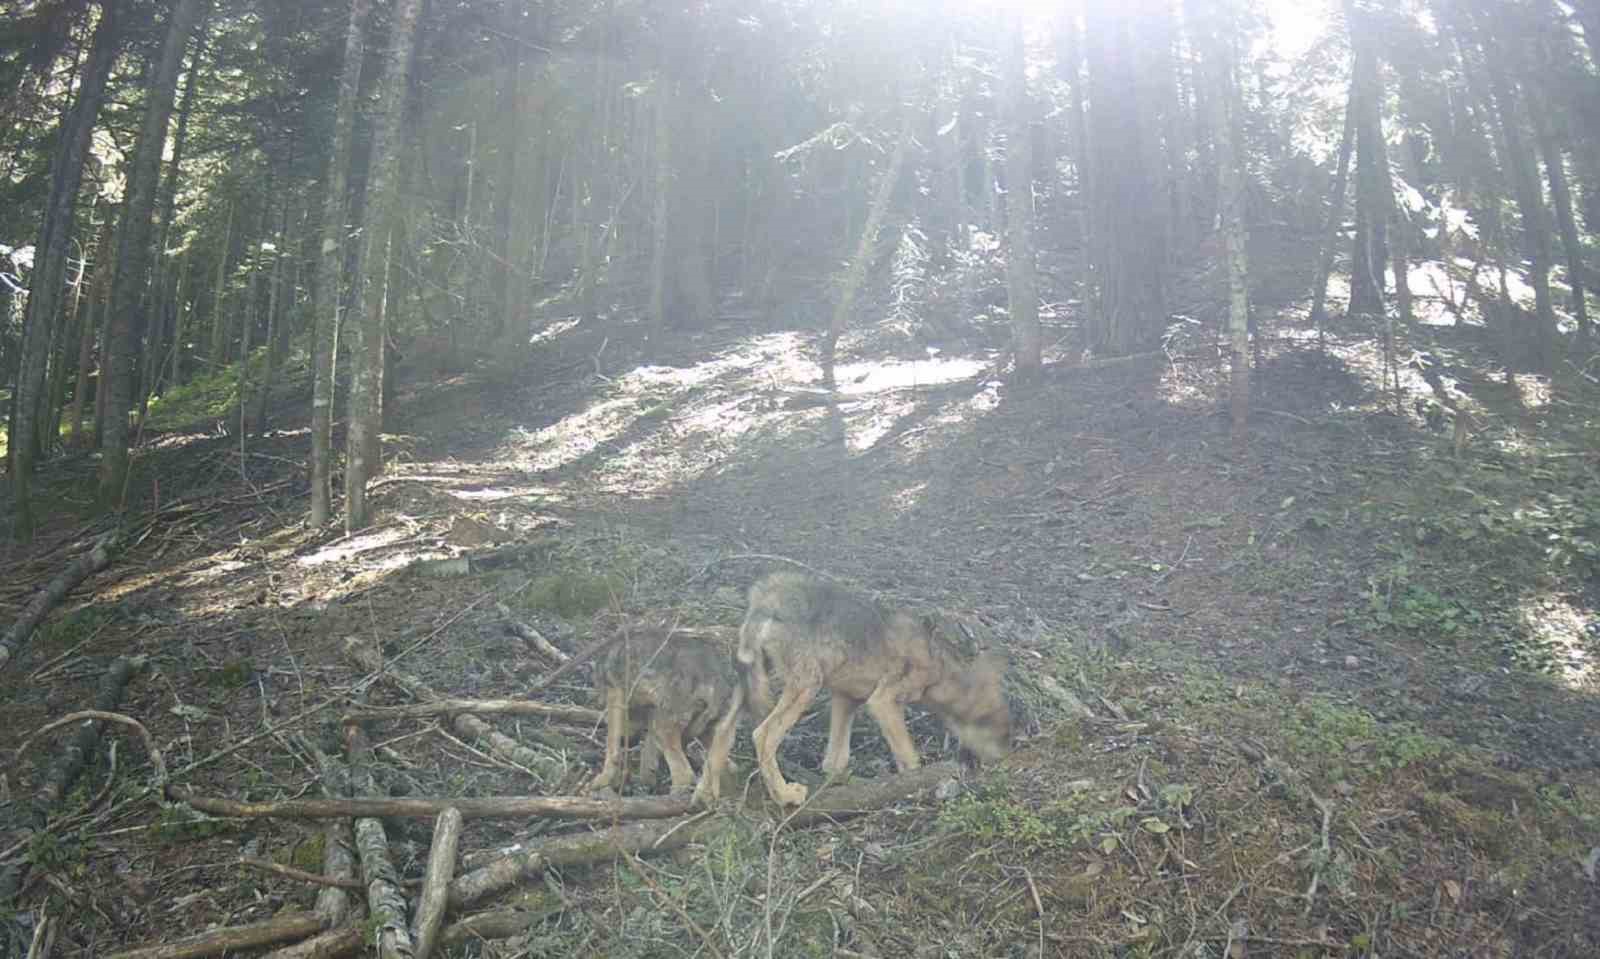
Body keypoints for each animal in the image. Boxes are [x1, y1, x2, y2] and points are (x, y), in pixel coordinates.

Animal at [588, 627, 742, 806]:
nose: (629, 740)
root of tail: (715, 677)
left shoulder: (615, 694)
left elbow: (612, 746)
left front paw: (603, 780)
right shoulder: (651, 714)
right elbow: (647, 758)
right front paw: (643, 781)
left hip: (665, 728)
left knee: (685, 775)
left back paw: (666, 801)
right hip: (713, 733)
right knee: (727, 769)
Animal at [732, 573, 1004, 806]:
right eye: (992, 723)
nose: (1002, 761)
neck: (939, 663)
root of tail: (765, 596)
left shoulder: (846, 699)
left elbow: (835, 761)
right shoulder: (883, 701)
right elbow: (910, 761)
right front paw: (910, 790)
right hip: (806, 687)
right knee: (762, 735)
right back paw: (784, 796)